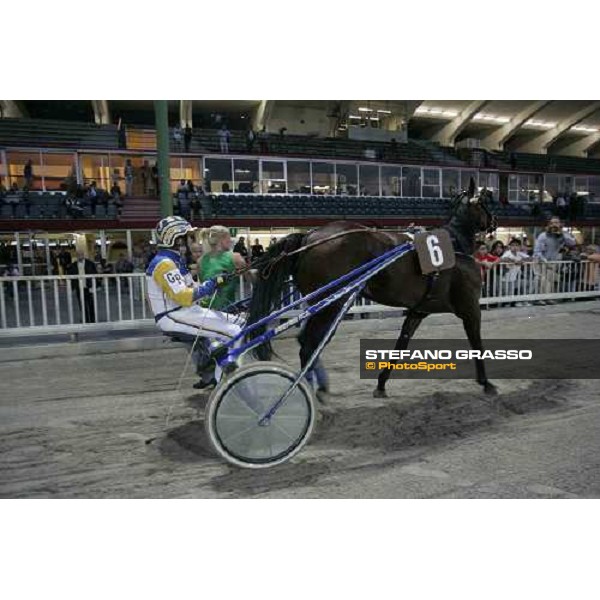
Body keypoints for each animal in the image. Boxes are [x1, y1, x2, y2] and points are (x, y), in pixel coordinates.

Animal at [246, 183, 500, 398]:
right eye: (486, 200)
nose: (494, 222)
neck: (455, 246)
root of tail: (310, 237)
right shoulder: (470, 307)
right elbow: (477, 344)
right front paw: (486, 382)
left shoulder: (418, 311)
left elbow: (401, 345)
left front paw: (381, 384)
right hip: (332, 305)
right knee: (309, 345)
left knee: (308, 342)